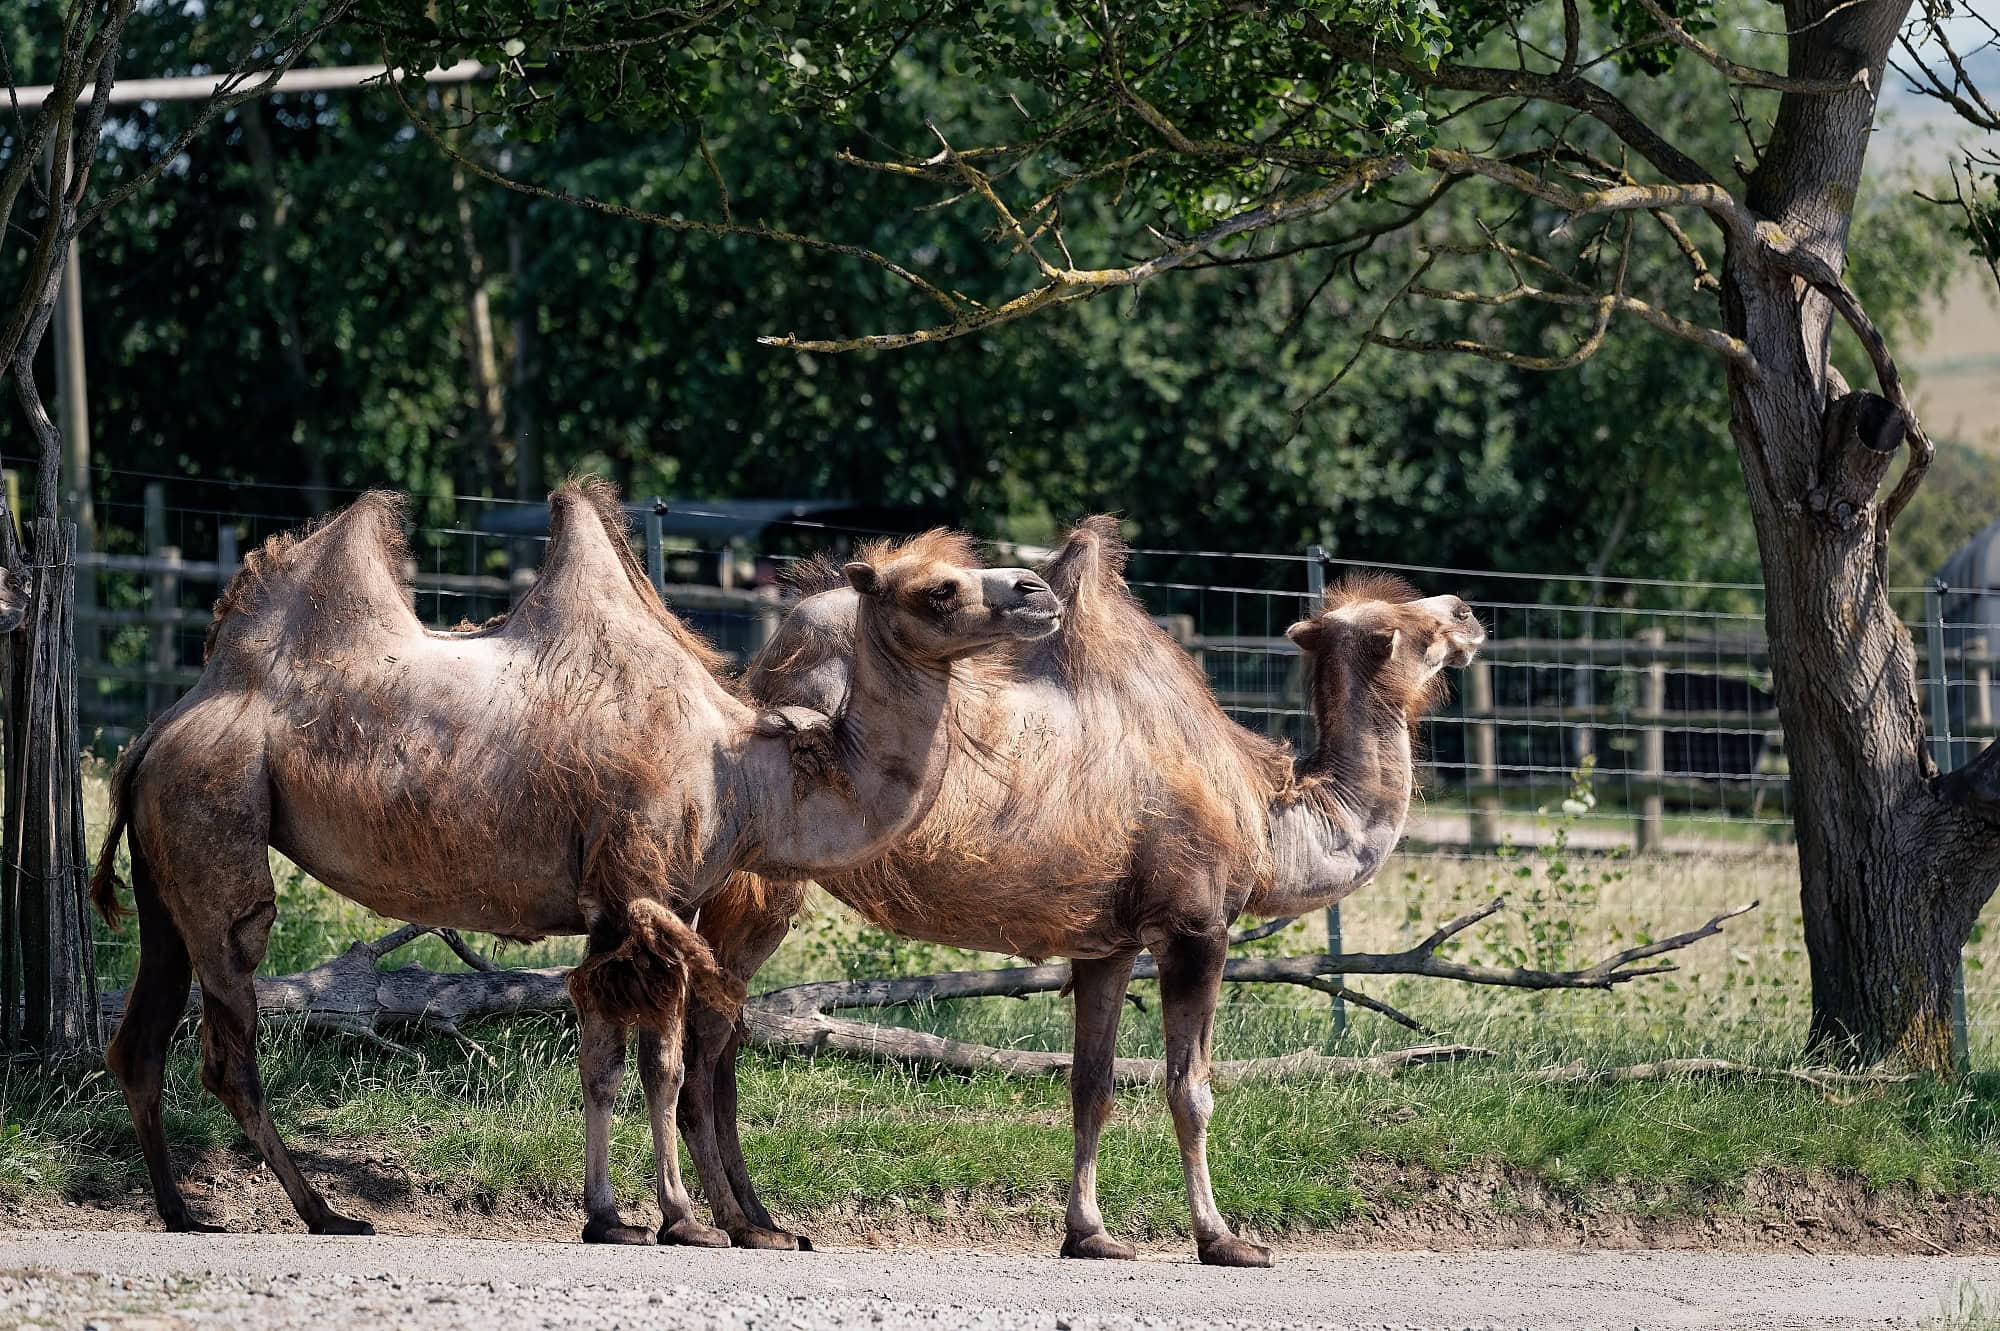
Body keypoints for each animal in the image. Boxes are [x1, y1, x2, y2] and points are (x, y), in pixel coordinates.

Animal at [89, 477, 1059, 1243]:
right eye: (937, 591)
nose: (1038, 587)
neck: (747, 772)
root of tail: (158, 730)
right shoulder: (648, 889)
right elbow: (661, 1065)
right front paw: (685, 1220)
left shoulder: (620, 905)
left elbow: (599, 1056)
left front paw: (610, 1217)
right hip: (218, 821)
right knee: (229, 1032)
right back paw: (324, 1211)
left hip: (167, 868)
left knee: (140, 1038)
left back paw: (183, 1209)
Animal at [674, 520, 1481, 1266]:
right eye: (1400, 627)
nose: (1468, 610)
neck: (1265, 815)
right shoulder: (1196, 927)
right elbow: (1190, 1090)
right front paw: (1223, 1238)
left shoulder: (1108, 944)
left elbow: (1091, 1086)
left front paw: (1090, 1234)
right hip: (753, 883)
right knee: (707, 1027)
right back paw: (727, 1220)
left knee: (724, 1029)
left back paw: (762, 1221)